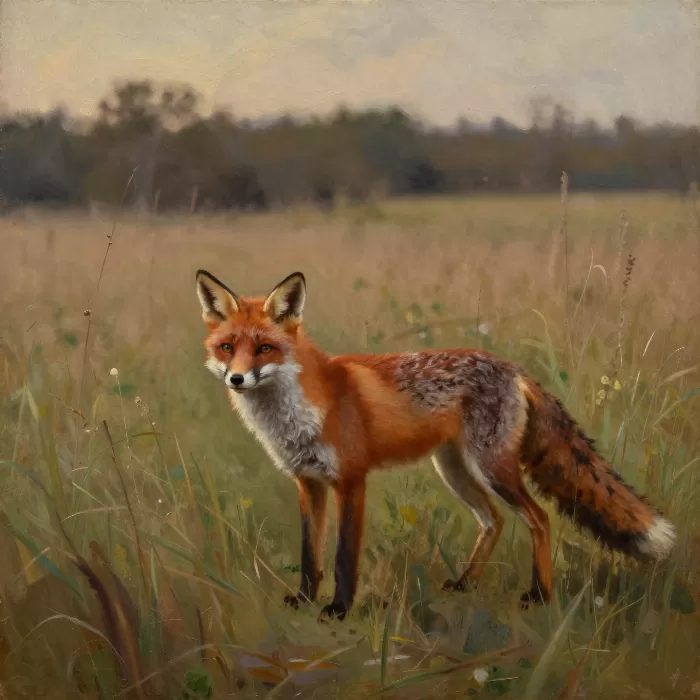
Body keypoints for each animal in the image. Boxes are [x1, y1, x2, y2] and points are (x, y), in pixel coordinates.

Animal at [195, 269, 676, 620]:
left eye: (264, 348)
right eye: (227, 347)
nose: (237, 379)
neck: (298, 414)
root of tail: (514, 369)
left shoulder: (351, 480)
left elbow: (343, 556)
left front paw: (339, 609)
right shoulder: (307, 483)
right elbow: (309, 552)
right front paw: (305, 600)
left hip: (493, 469)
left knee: (538, 519)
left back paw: (540, 595)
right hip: (455, 471)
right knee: (494, 521)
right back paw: (465, 584)